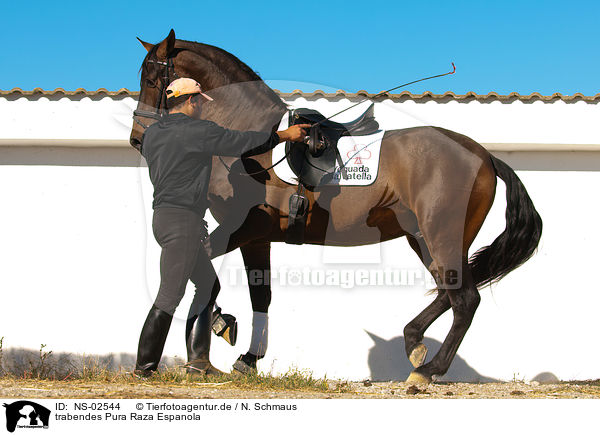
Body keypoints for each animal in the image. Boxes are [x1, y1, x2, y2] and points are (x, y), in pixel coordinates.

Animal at [131, 29, 544, 384]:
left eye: (152, 81)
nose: (138, 139)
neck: (251, 143)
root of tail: (484, 156)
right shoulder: (257, 238)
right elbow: (257, 293)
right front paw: (246, 357)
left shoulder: (242, 228)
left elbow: (204, 268)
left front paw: (217, 330)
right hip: (424, 239)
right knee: (449, 291)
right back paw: (413, 343)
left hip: (441, 236)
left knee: (465, 298)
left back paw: (428, 371)